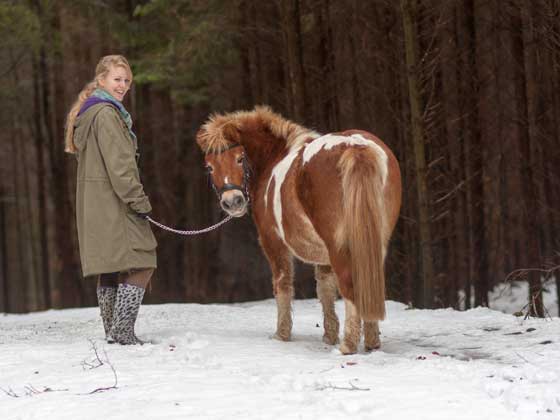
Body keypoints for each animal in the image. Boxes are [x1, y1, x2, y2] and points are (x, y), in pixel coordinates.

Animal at [195, 106, 400, 354]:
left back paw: (348, 345)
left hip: (339, 247)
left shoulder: (273, 243)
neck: (273, 158)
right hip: (374, 242)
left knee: (350, 285)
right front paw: (329, 334)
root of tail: (354, 147)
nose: (232, 202)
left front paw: (282, 334)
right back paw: (371, 341)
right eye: (209, 166)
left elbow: (282, 285)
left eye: (240, 158)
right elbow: (325, 289)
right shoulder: (323, 256)